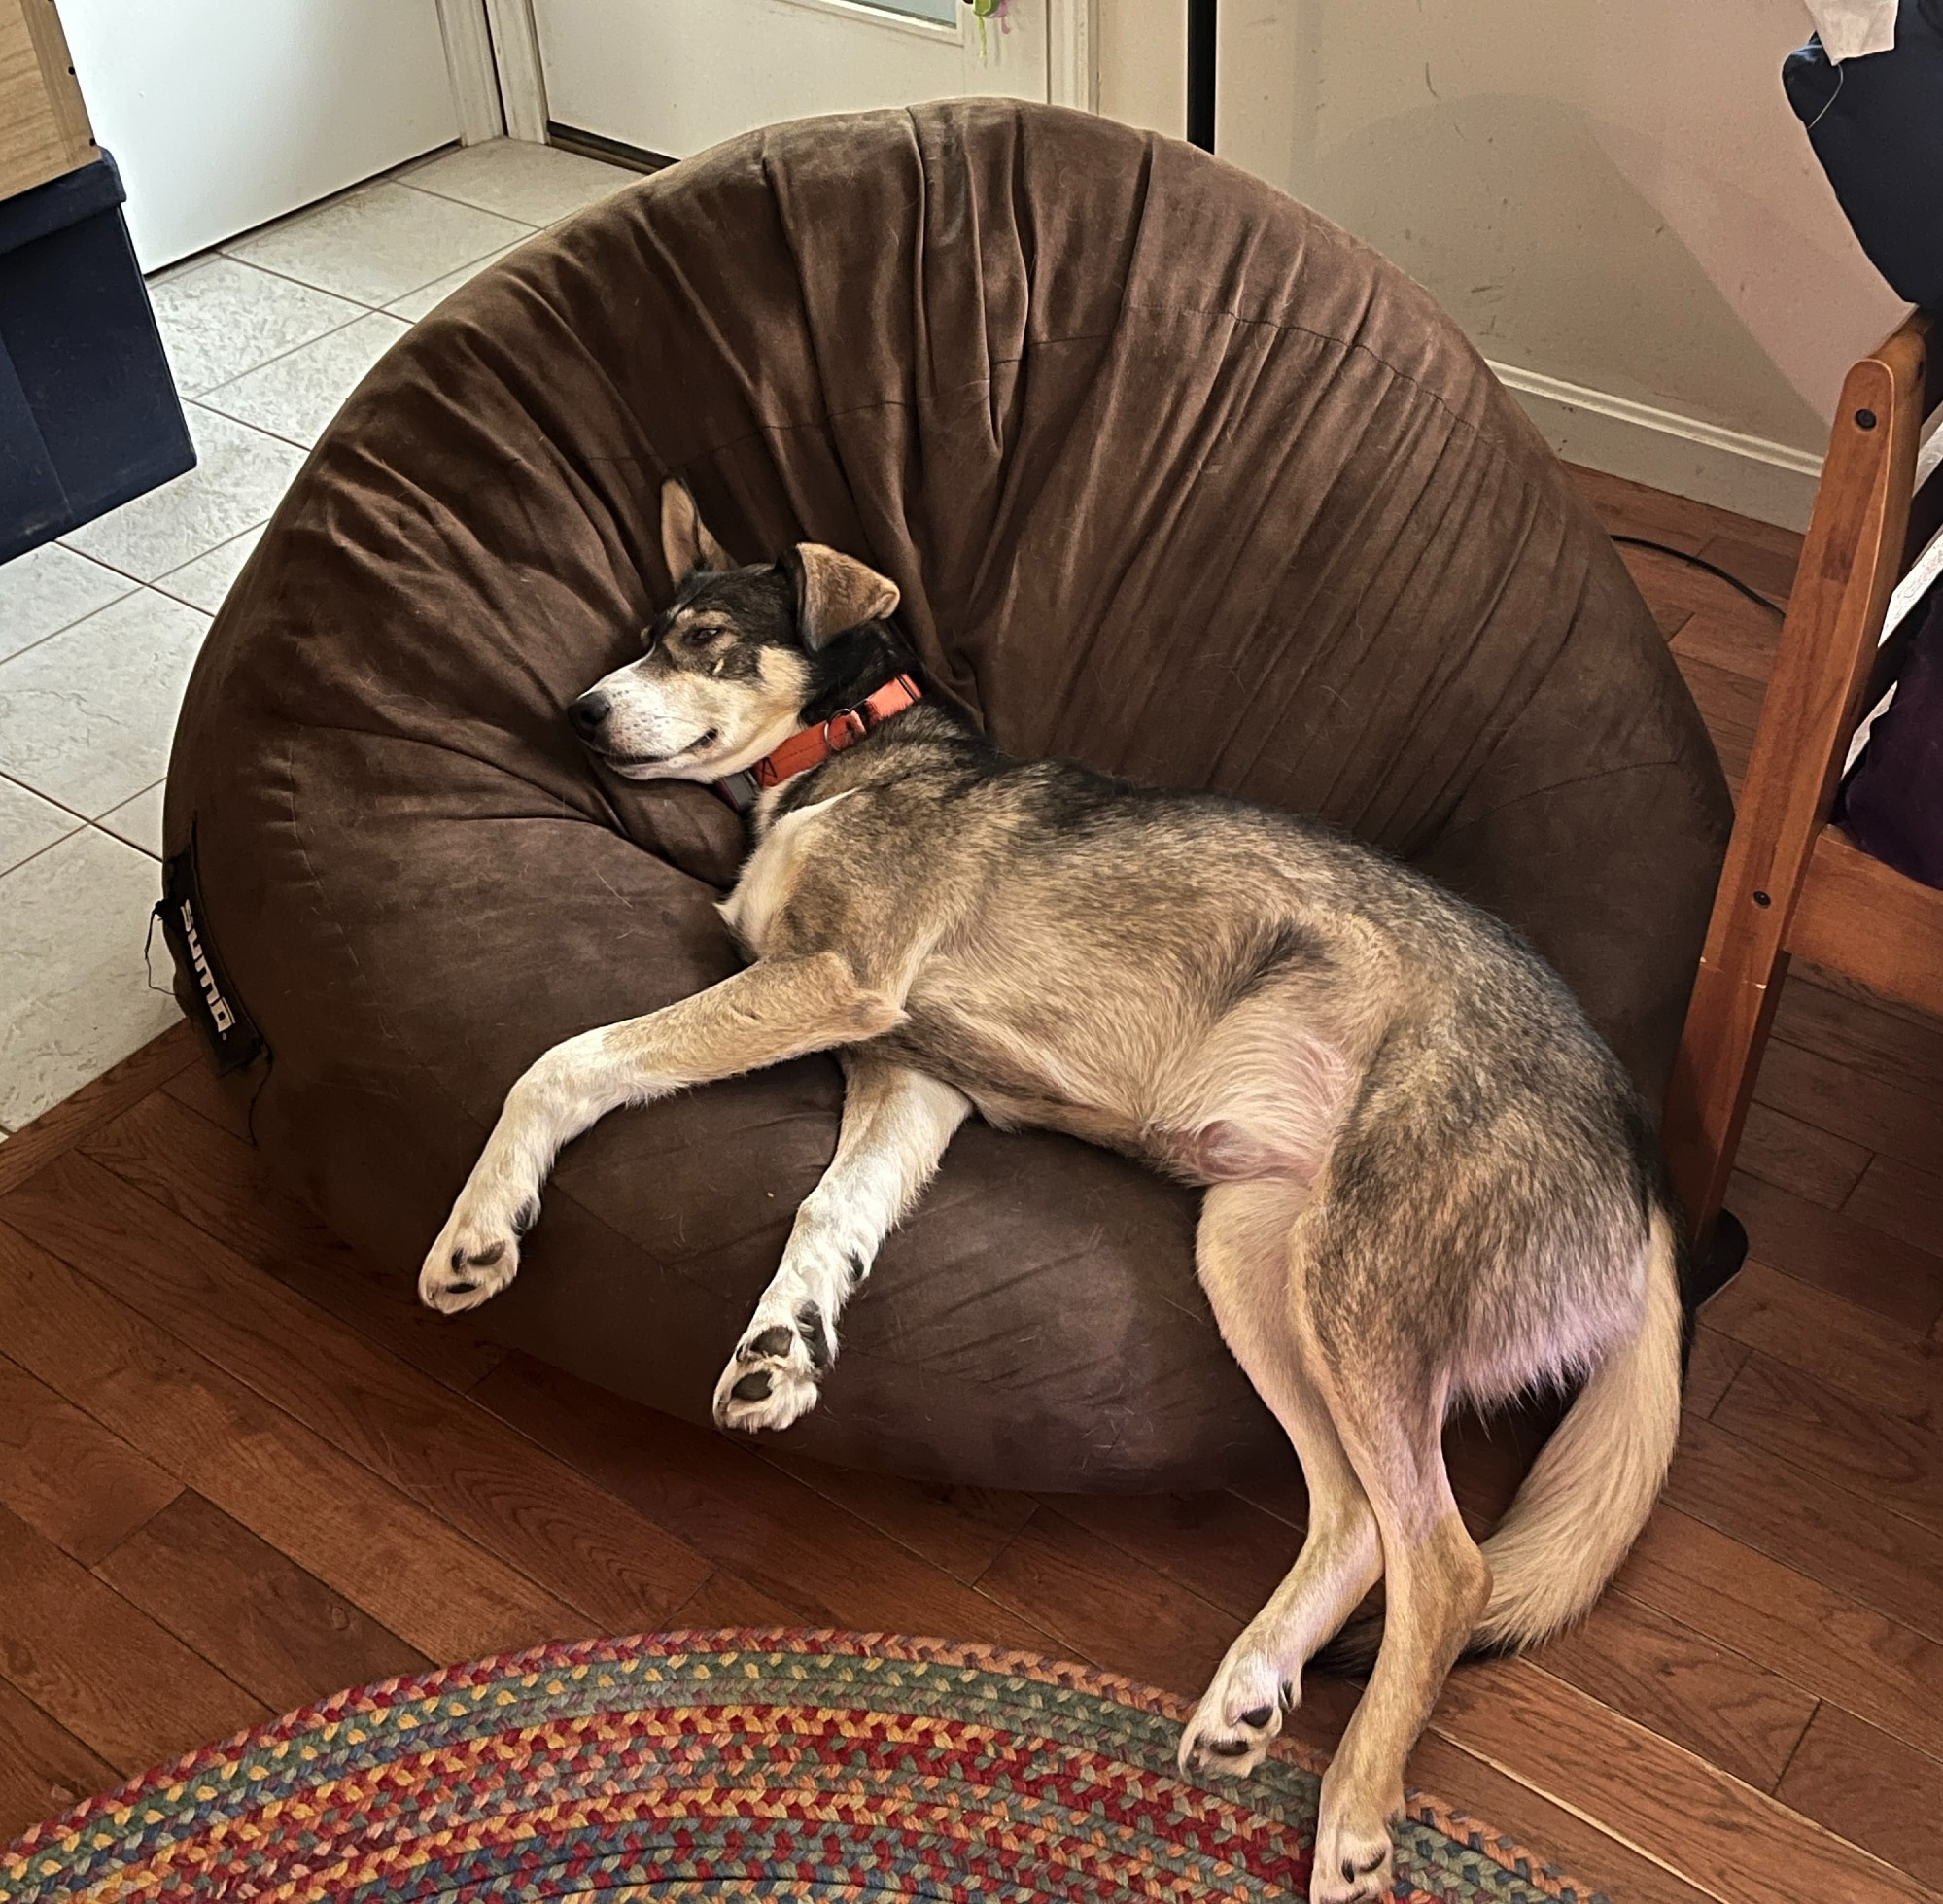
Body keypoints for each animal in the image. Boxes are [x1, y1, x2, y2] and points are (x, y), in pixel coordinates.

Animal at [425, 479, 1686, 1904]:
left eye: (697, 639)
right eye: (644, 634)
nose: (575, 710)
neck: (849, 752)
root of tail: (1642, 1167)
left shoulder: (829, 982)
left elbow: (565, 1060)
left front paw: (478, 1229)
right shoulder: (908, 1075)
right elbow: (826, 1214)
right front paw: (782, 1347)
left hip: (1352, 1287)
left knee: (1448, 1563)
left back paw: (1354, 1814)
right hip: (1253, 1263)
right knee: (1359, 1519)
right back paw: (1247, 1694)